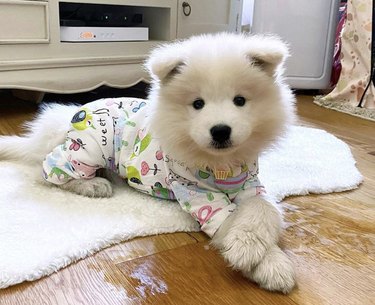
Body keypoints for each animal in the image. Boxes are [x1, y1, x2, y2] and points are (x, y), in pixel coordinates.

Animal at [1, 32, 298, 292]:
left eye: (240, 100)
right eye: (198, 104)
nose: (221, 130)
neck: (220, 164)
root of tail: (71, 117)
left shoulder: (250, 185)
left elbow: (265, 209)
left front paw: (261, 253)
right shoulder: (200, 197)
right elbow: (229, 220)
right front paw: (261, 258)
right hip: (91, 145)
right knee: (48, 171)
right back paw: (93, 185)